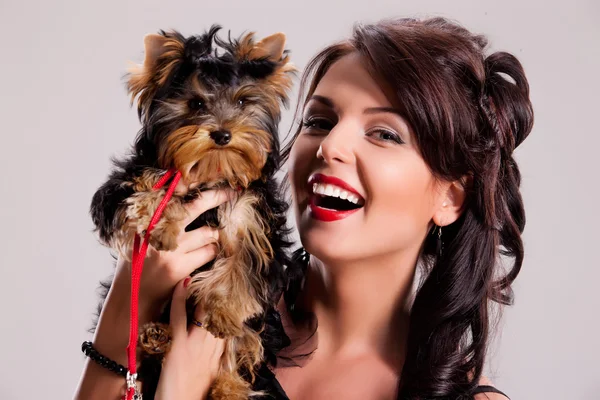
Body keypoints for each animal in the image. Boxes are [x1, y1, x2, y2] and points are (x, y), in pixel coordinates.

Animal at [89, 26, 296, 398]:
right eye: (196, 103)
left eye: (242, 101)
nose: (223, 133)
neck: (211, 171)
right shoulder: (120, 187)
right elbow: (145, 192)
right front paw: (157, 218)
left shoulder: (254, 220)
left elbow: (244, 263)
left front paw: (224, 310)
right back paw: (155, 337)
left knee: (247, 343)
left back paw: (229, 386)